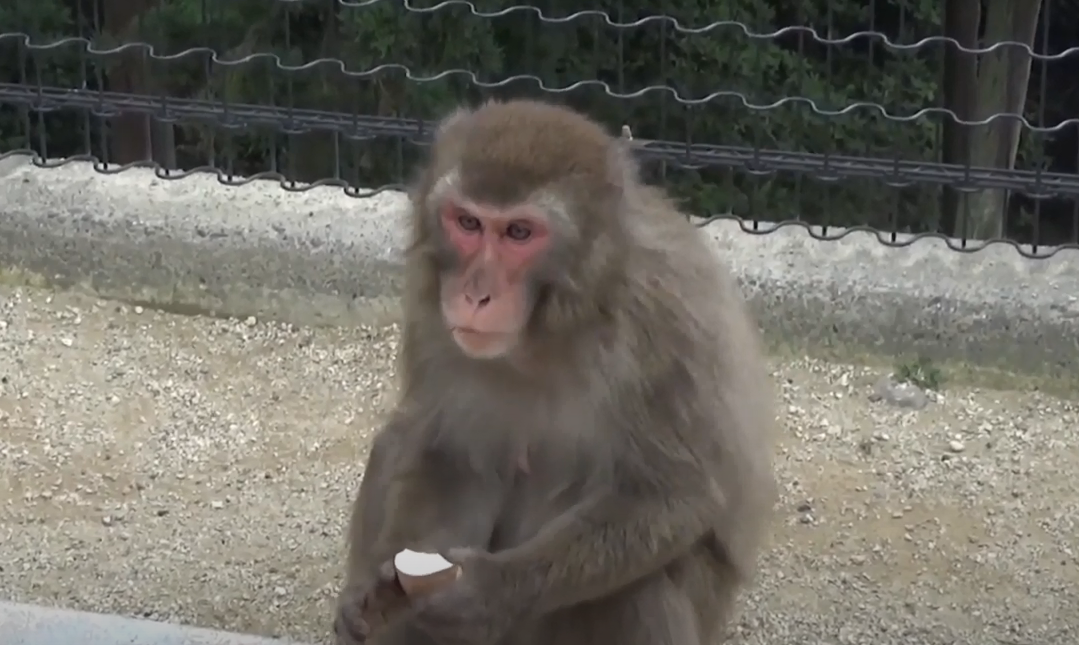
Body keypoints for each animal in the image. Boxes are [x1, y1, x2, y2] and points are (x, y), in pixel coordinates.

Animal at [334, 98, 776, 645]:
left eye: (519, 233)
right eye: (467, 222)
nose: (475, 294)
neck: (547, 332)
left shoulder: (667, 317)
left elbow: (676, 493)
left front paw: (488, 589)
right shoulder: (432, 318)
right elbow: (454, 458)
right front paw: (382, 591)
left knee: (639, 589)